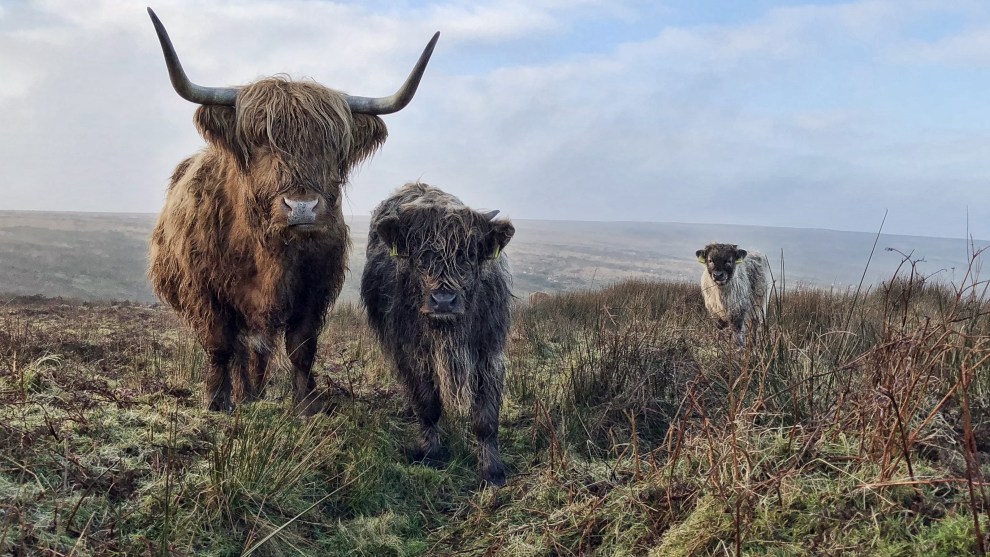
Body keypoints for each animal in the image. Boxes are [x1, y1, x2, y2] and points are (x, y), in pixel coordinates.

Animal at [145, 8, 438, 413]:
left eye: (335, 146)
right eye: (259, 140)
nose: (302, 207)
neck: (265, 249)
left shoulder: (314, 289)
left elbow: (301, 347)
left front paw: (305, 405)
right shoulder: (204, 290)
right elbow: (219, 344)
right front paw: (217, 401)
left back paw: (252, 393)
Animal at [360, 183, 515, 486]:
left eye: (468, 255)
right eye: (421, 256)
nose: (443, 301)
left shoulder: (489, 353)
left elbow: (486, 418)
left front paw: (492, 470)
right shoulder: (412, 352)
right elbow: (428, 404)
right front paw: (431, 453)